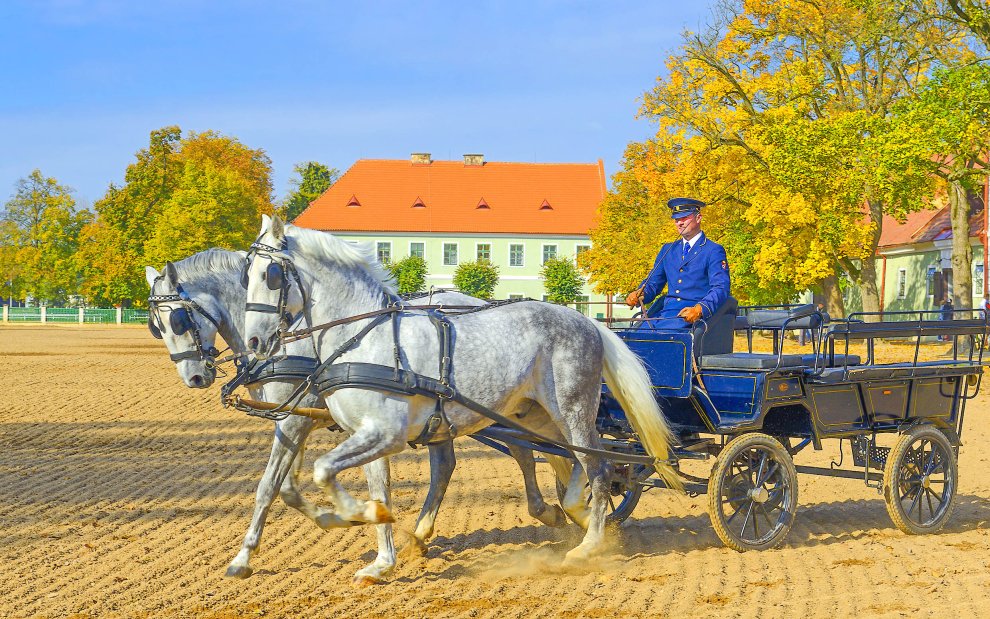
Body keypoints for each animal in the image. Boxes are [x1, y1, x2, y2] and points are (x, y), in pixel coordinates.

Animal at [143, 248, 568, 588]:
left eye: (178, 319)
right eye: (155, 326)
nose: (194, 377)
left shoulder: (294, 421)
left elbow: (269, 486)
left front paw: (244, 558)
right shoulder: (299, 417)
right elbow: (288, 487)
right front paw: (336, 519)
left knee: (523, 450)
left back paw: (548, 510)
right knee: (453, 464)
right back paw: (422, 536)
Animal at [243, 217, 680, 572]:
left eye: (271, 275)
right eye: (246, 274)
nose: (254, 342)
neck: (363, 337)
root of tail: (588, 322)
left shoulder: (382, 433)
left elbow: (321, 471)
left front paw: (346, 516)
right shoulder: (363, 432)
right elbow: (360, 485)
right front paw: (378, 550)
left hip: (573, 407)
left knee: (599, 466)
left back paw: (588, 545)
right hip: (535, 413)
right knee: (569, 457)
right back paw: (576, 513)